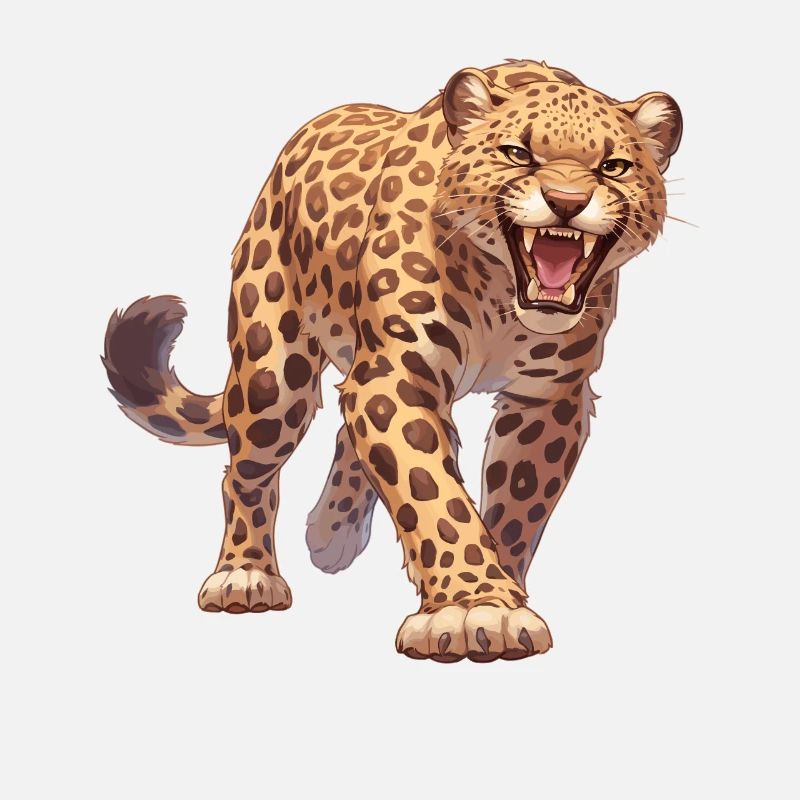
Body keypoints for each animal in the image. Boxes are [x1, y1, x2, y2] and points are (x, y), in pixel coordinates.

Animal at [102, 59, 682, 662]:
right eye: (517, 153)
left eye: (613, 166)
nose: (566, 200)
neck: (502, 294)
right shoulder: (398, 373)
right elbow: (432, 494)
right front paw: (473, 608)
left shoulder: (547, 396)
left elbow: (516, 506)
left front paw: (502, 593)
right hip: (272, 376)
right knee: (246, 473)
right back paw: (246, 574)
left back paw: (330, 535)